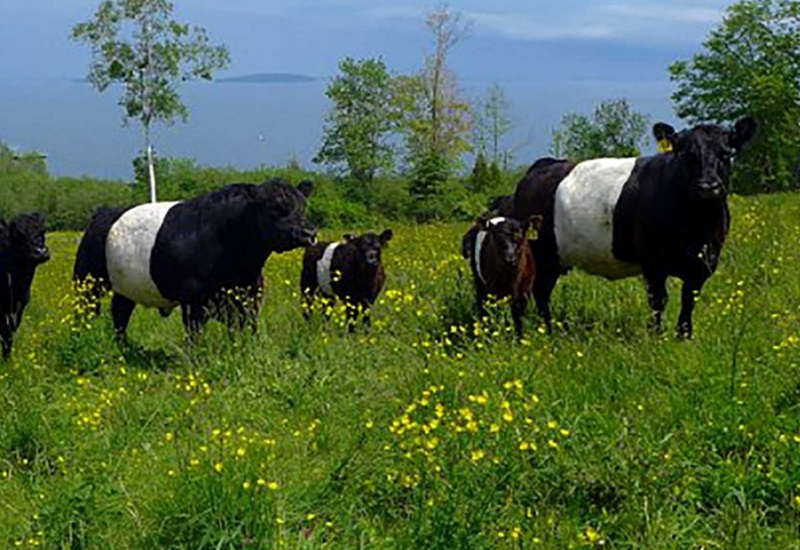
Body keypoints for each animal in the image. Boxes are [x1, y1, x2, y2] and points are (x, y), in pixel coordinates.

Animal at [72, 179, 316, 338]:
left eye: (303, 206)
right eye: (277, 208)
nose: (309, 232)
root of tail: (103, 213)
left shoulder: (250, 295)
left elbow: (245, 329)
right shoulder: (193, 299)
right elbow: (195, 334)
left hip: (125, 288)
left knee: (120, 313)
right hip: (87, 282)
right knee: (86, 312)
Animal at [512, 118, 756, 338]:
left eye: (727, 154)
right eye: (687, 155)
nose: (708, 186)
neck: (698, 226)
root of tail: (544, 164)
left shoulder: (704, 263)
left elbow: (689, 300)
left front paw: (684, 337)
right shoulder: (653, 262)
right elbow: (658, 300)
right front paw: (656, 337)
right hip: (541, 255)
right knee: (540, 292)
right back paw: (548, 331)